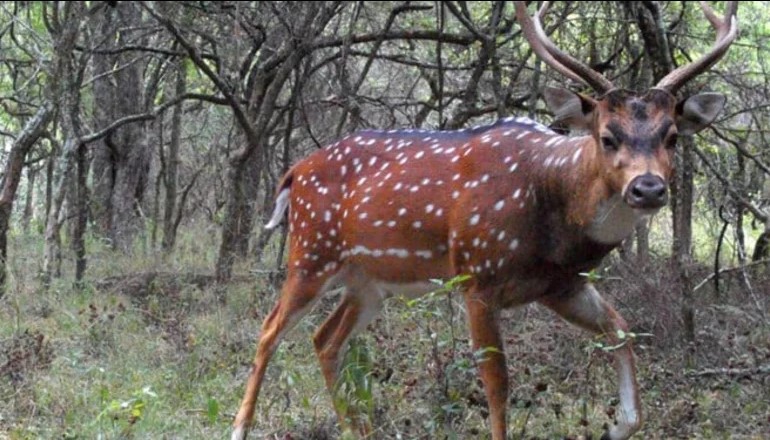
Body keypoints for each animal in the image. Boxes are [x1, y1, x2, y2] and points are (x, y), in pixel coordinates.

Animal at [232, 1, 738, 439]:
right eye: (607, 136)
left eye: (671, 136)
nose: (648, 188)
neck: (550, 208)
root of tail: (294, 172)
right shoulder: (476, 276)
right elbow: (497, 383)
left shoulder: (564, 285)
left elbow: (622, 331)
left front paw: (615, 426)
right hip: (311, 253)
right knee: (269, 330)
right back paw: (241, 426)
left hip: (369, 280)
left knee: (325, 339)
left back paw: (359, 430)